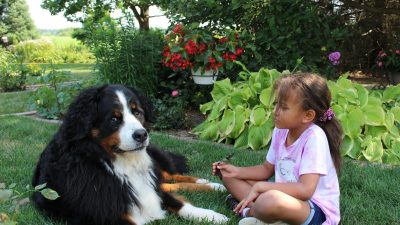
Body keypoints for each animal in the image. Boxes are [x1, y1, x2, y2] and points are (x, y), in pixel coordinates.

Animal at [32, 84, 228, 225]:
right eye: (114, 118)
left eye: (137, 112)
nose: (142, 135)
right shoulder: (105, 214)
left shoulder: (148, 189)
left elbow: (181, 204)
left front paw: (213, 216)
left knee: (171, 177)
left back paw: (212, 184)